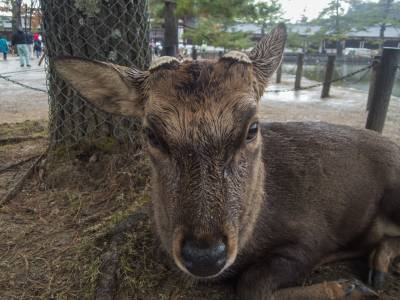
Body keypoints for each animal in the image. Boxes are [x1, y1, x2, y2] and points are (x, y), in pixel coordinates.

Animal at [54, 24, 400, 298]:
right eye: (152, 134)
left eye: (253, 128)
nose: (205, 257)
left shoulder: (313, 233)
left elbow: (251, 285)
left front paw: (346, 286)